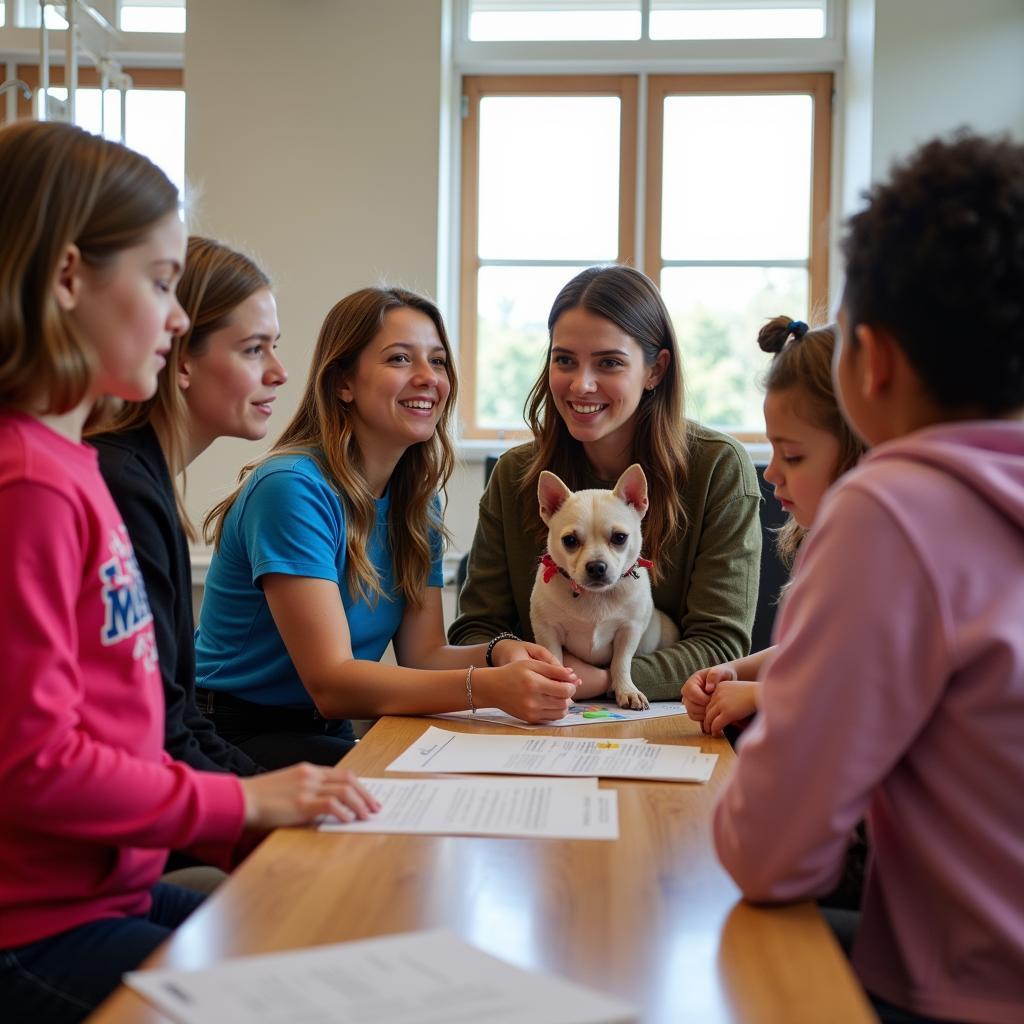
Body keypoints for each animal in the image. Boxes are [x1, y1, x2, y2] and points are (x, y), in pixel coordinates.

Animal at [528, 466, 679, 712]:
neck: (595, 596)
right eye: (569, 540)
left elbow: (621, 662)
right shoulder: (547, 631)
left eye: (620, 537)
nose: (597, 566)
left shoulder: (629, 630)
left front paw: (627, 691)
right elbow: (555, 660)